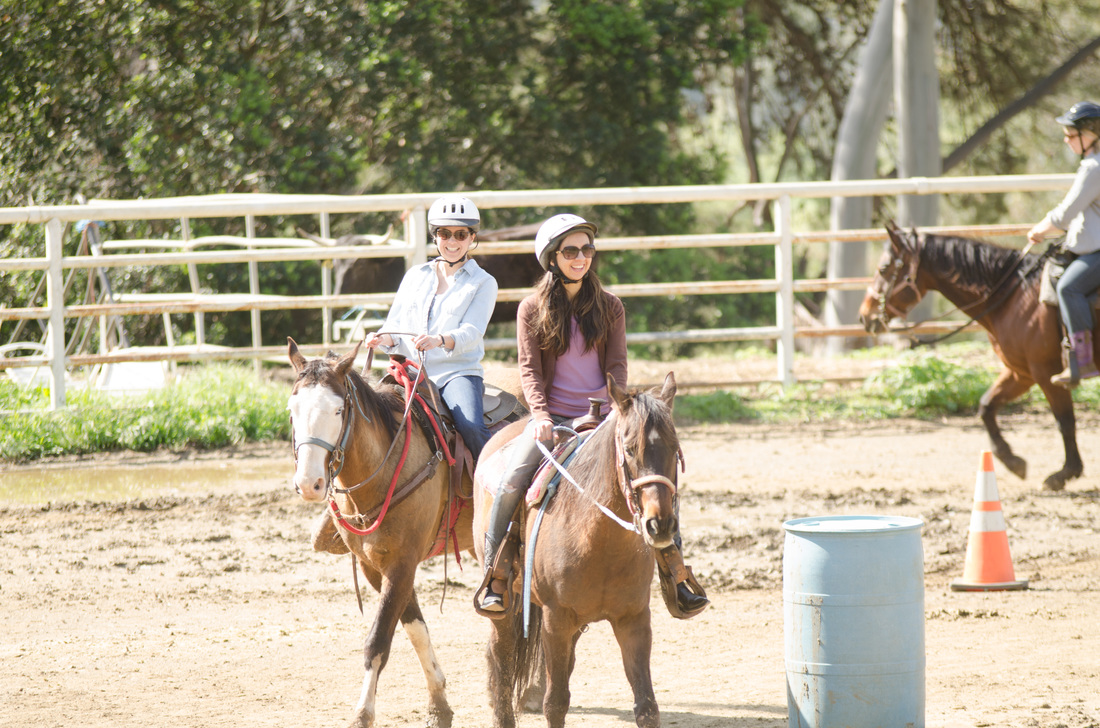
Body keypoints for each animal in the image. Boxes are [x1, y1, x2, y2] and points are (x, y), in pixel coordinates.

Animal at [286, 340, 470, 728]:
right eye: (293, 410)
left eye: (338, 409)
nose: (309, 484)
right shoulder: (376, 567)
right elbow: (414, 628)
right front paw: (439, 704)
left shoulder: (402, 564)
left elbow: (377, 641)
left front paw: (362, 713)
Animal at [470, 373, 682, 725]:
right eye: (629, 448)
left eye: (675, 449)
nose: (660, 524)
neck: (599, 540)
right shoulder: (556, 619)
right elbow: (555, 703)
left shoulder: (633, 619)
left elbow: (647, 706)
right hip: (506, 604)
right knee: (501, 656)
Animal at [853, 222, 1078, 492]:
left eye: (883, 268)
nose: (865, 315)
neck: (1018, 298)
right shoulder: (1021, 372)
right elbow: (986, 406)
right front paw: (1013, 461)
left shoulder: (1046, 371)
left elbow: (1065, 421)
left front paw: (1064, 473)